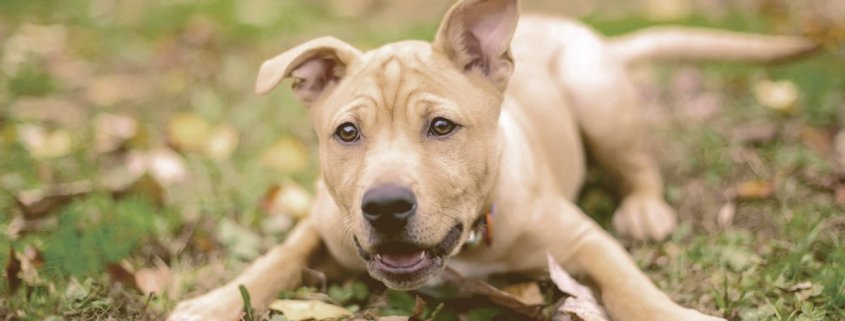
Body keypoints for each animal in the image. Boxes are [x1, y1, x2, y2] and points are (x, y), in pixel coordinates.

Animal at [166, 1, 816, 318]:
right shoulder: (323, 222)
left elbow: (629, 285)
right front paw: (213, 301)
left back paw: (645, 209)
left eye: (441, 127)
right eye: (346, 132)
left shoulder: (583, 240)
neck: (468, 246)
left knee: (639, 166)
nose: (385, 207)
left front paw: (673, 313)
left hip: (598, 97)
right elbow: (277, 258)